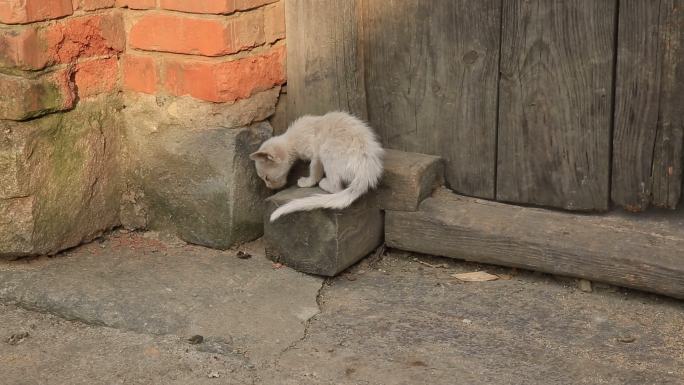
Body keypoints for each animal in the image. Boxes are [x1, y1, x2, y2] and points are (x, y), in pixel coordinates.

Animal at [250, 110, 382, 222]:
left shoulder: (315, 153)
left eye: (266, 178)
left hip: (326, 150)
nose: (268, 187)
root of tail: (366, 174)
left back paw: (324, 183)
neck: (292, 140)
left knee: (337, 187)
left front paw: (307, 182)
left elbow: (314, 170)